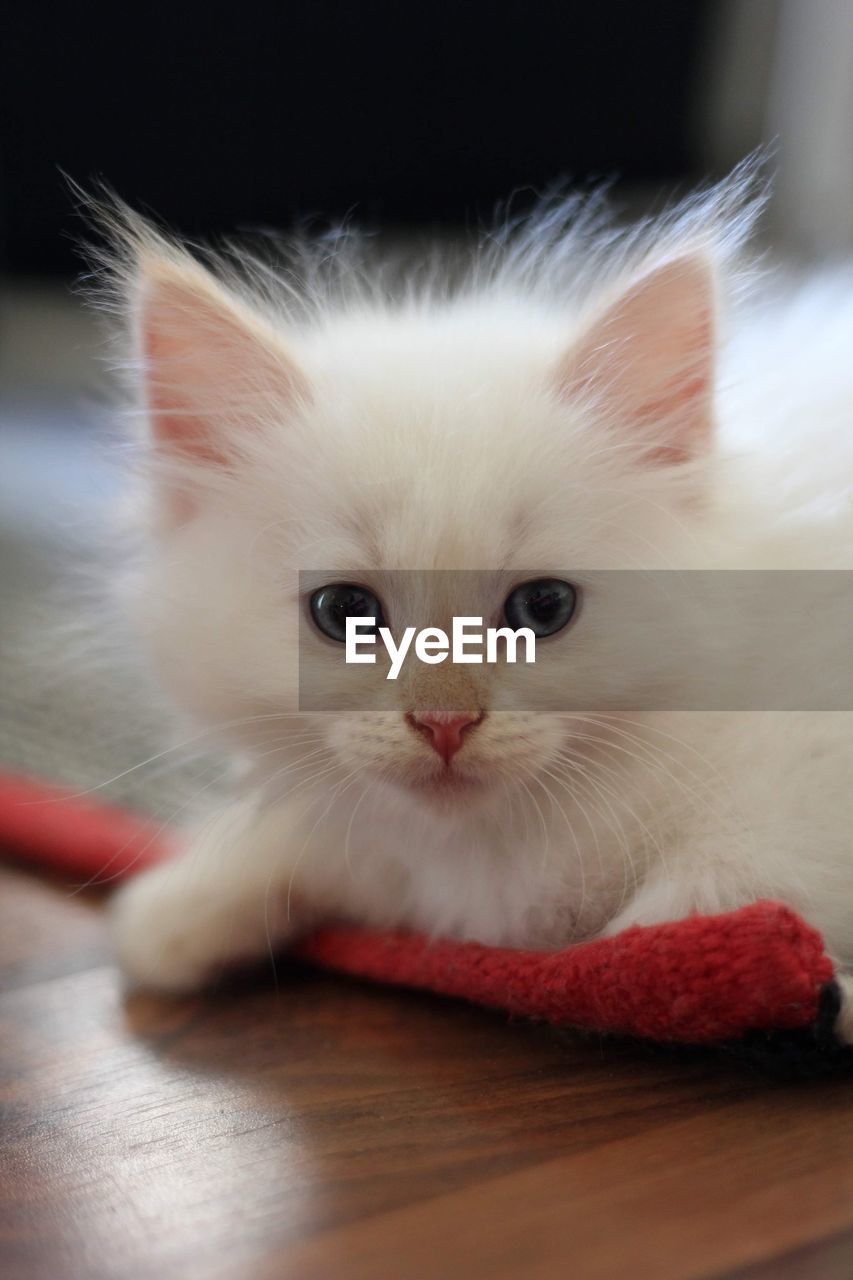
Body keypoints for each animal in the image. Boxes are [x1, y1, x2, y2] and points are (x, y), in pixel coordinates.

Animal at [104, 170, 850, 1029]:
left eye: (542, 609)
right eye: (343, 613)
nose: (444, 724)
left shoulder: (805, 765)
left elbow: (717, 887)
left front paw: (710, 968)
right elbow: (299, 844)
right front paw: (174, 914)